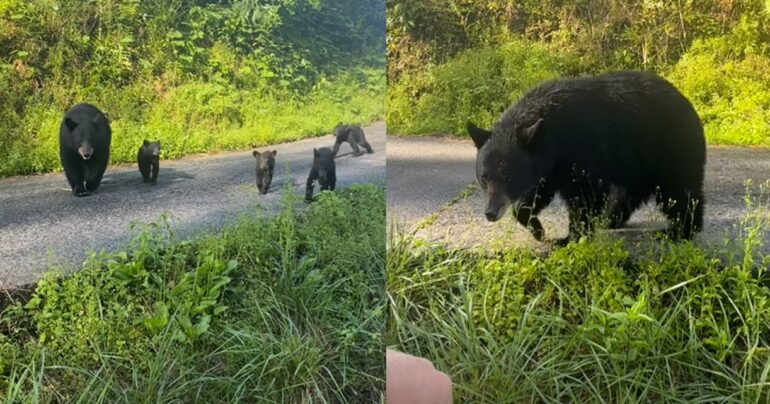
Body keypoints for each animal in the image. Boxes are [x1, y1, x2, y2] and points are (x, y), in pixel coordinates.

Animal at [467, 71, 706, 243]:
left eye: (508, 177)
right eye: (484, 178)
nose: (490, 213)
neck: (552, 135)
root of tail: (689, 106)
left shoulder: (582, 149)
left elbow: (586, 193)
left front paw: (571, 237)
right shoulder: (551, 164)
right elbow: (539, 192)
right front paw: (537, 229)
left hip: (670, 149)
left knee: (679, 191)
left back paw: (679, 231)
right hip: (638, 163)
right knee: (628, 193)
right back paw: (610, 219)